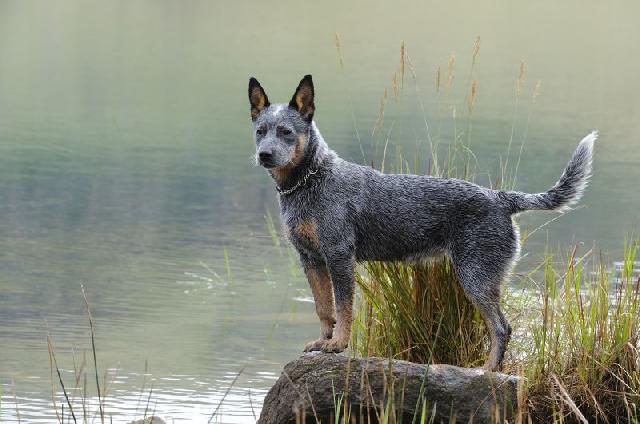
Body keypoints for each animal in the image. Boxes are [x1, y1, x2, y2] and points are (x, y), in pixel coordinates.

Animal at [249, 74, 596, 370]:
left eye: (286, 131)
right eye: (260, 130)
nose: (264, 155)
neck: (310, 180)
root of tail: (500, 197)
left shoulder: (339, 257)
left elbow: (344, 309)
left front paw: (338, 345)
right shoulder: (310, 259)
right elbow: (324, 309)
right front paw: (322, 343)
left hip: (476, 278)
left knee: (501, 327)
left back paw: (486, 371)